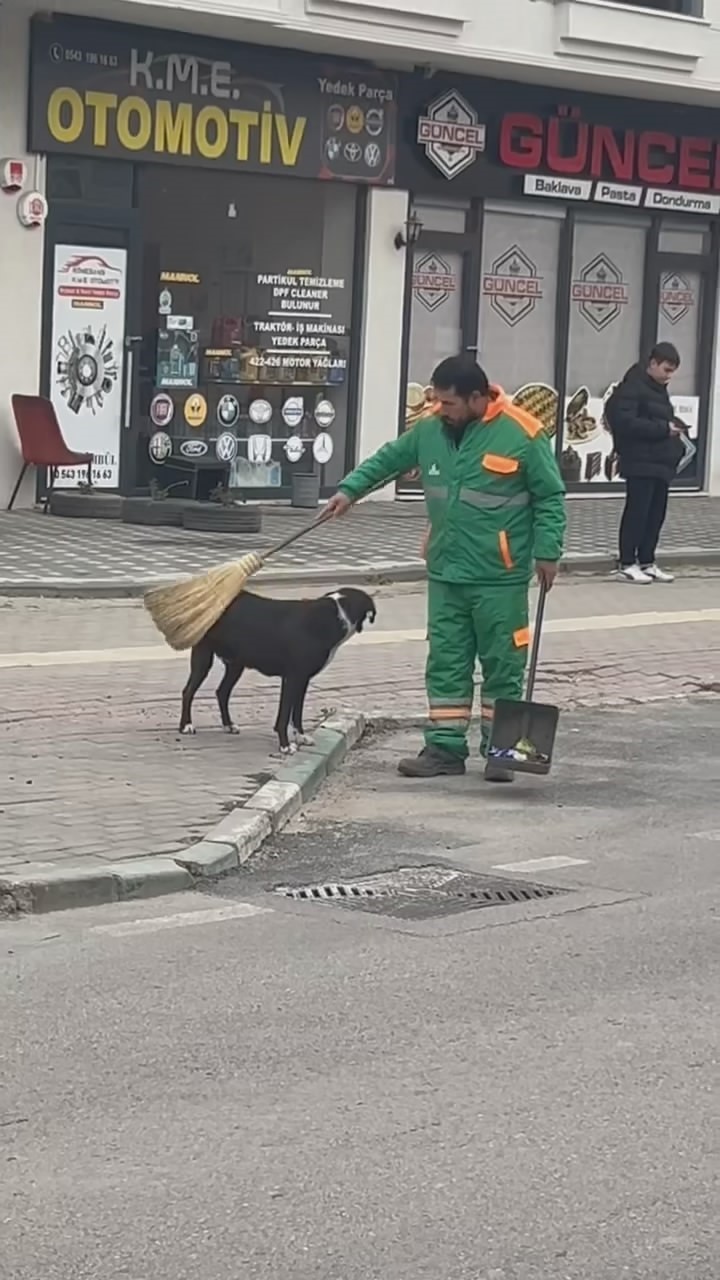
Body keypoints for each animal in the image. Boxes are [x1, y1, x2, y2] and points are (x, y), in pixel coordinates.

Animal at [178, 586, 376, 752]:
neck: (333, 616)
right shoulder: (293, 677)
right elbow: (284, 715)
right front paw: (285, 745)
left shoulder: (301, 679)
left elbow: (296, 712)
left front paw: (301, 736)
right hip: (203, 658)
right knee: (188, 691)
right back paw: (186, 725)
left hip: (236, 665)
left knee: (222, 692)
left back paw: (228, 725)